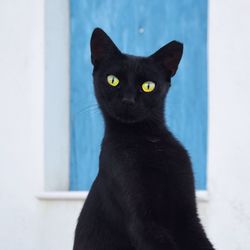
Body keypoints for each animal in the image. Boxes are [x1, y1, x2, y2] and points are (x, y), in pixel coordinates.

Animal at [73, 27, 215, 250]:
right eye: (113, 80)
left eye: (148, 85)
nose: (128, 100)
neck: (148, 140)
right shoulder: (142, 221)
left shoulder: (188, 217)